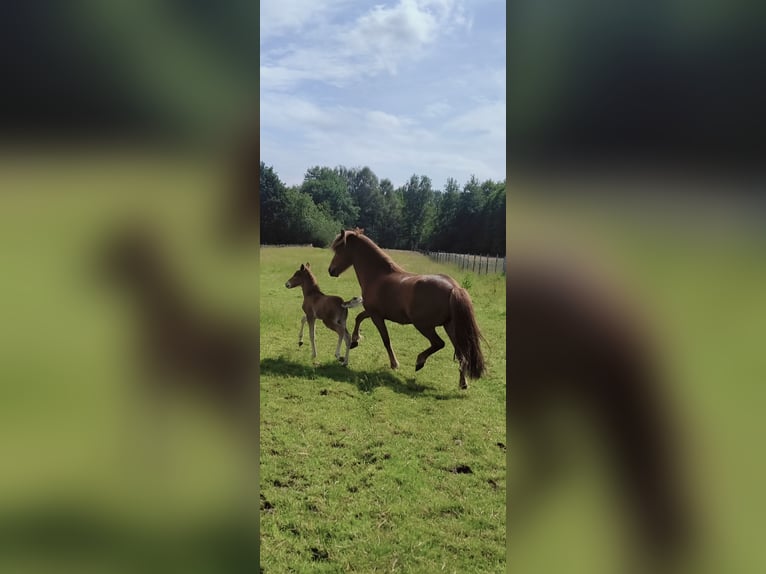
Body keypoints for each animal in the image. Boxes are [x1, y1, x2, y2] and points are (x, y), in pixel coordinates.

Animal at [328, 227, 486, 390]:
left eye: (339, 250)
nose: (331, 270)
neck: (378, 276)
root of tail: (453, 288)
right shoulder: (373, 312)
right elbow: (359, 317)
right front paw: (355, 340)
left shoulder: (376, 315)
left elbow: (386, 339)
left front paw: (394, 364)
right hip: (451, 327)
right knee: (461, 353)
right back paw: (463, 383)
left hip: (424, 326)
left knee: (439, 344)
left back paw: (420, 362)